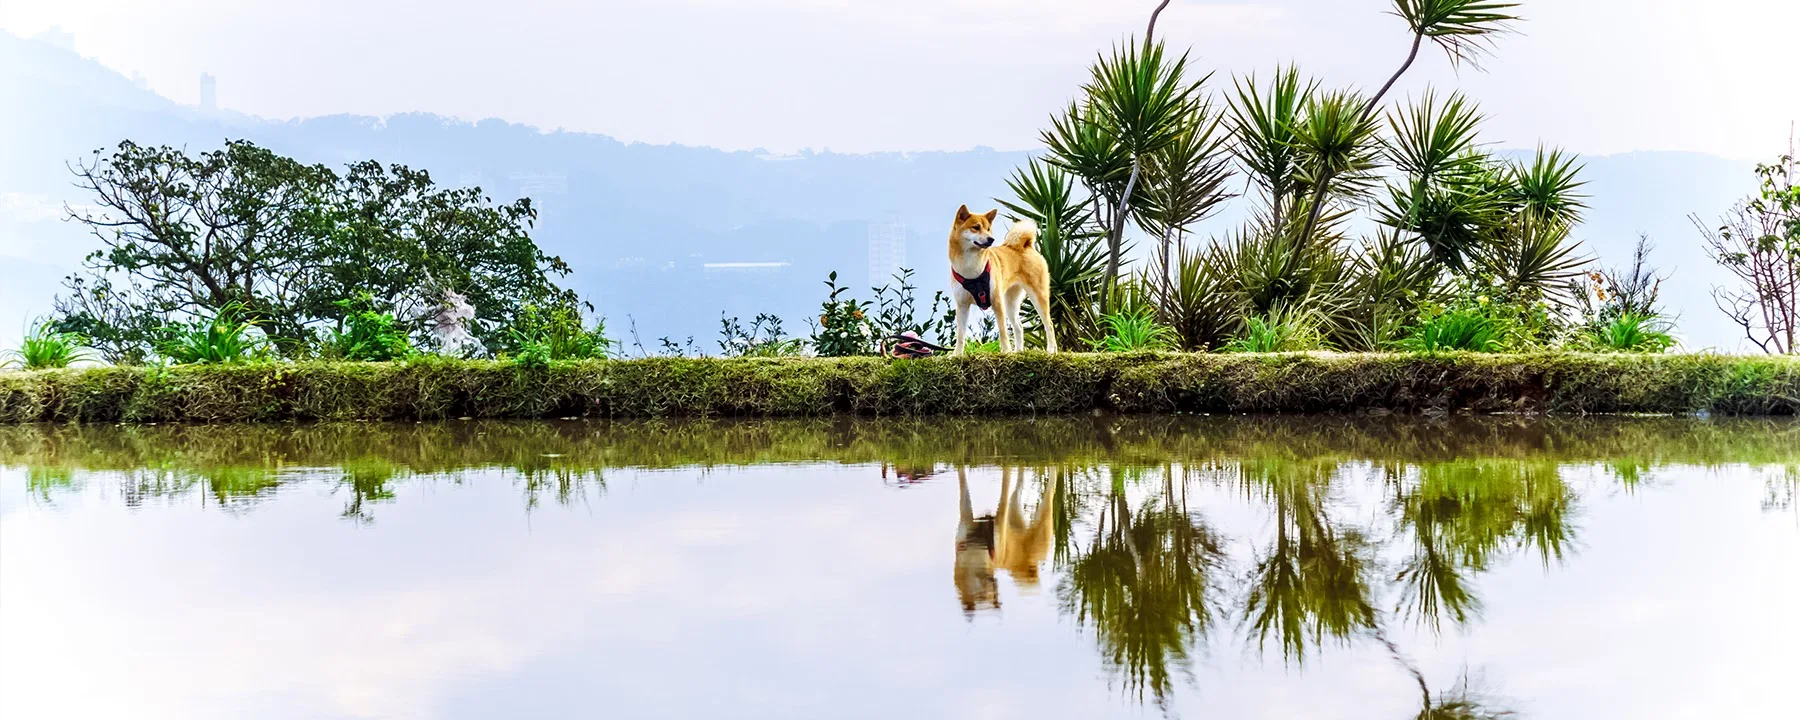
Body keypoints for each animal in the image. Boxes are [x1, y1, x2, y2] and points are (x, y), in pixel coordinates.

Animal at [950, 204, 1058, 352]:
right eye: (976, 227)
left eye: (988, 229)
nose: (991, 239)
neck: (970, 269)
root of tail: (1026, 245)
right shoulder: (962, 305)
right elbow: (960, 335)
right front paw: (957, 354)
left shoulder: (996, 300)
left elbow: (1002, 331)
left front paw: (1006, 352)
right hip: (1010, 302)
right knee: (1019, 327)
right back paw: (1018, 352)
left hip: (1037, 296)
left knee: (1049, 324)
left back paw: (1051, 350)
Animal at [950, 468, 1058, 612]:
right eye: (983, 596)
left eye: (993, 595)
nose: (996, 587)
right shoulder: (967, 519)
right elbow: (963, 483)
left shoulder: (999, 525)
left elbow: (1004, 490)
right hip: (1014, 509)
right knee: (1019, 484)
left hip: (1042, 528)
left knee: (1051, 485)